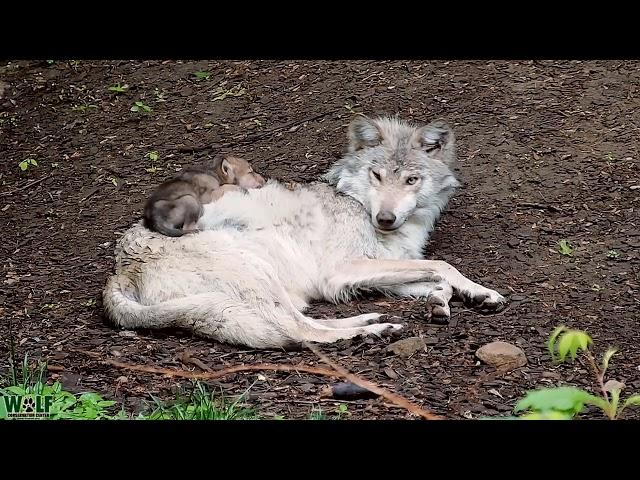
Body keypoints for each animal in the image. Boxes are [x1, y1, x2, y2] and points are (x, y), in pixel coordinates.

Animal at [104, 116, 504, 348]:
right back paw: (370, 332)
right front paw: (480, 291)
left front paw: (452, 299)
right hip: (258, 275)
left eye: (411, 180)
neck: (355, 201)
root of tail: (118, 269)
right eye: (376, 175)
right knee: (296, 333)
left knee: (303, 322)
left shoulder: (375, 272)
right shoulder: (341, 271)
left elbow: (439, 279)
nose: (386, 218)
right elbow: (443, 266)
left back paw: (370, 321)